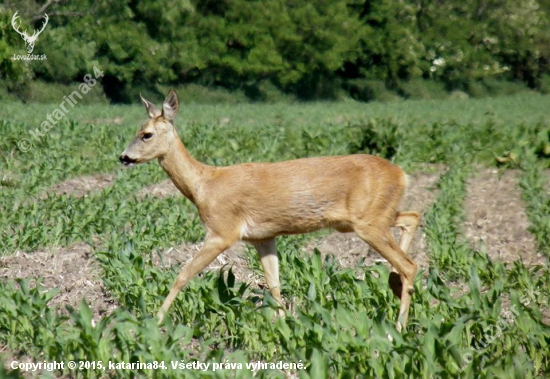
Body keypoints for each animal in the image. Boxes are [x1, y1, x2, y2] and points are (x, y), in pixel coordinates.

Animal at [121, 90, 420, 332]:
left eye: (146, 134)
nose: (123, 157)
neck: (203, 186)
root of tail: (403, 174)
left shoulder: (222, 231)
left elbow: (183, 274)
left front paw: (155, 319)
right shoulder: (263, 237)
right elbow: (274, 283)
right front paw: (285, 323)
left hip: (368, 222)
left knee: (409, 263)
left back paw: (399, 325)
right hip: (373, 217)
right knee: (412, 219)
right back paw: (394, 284)